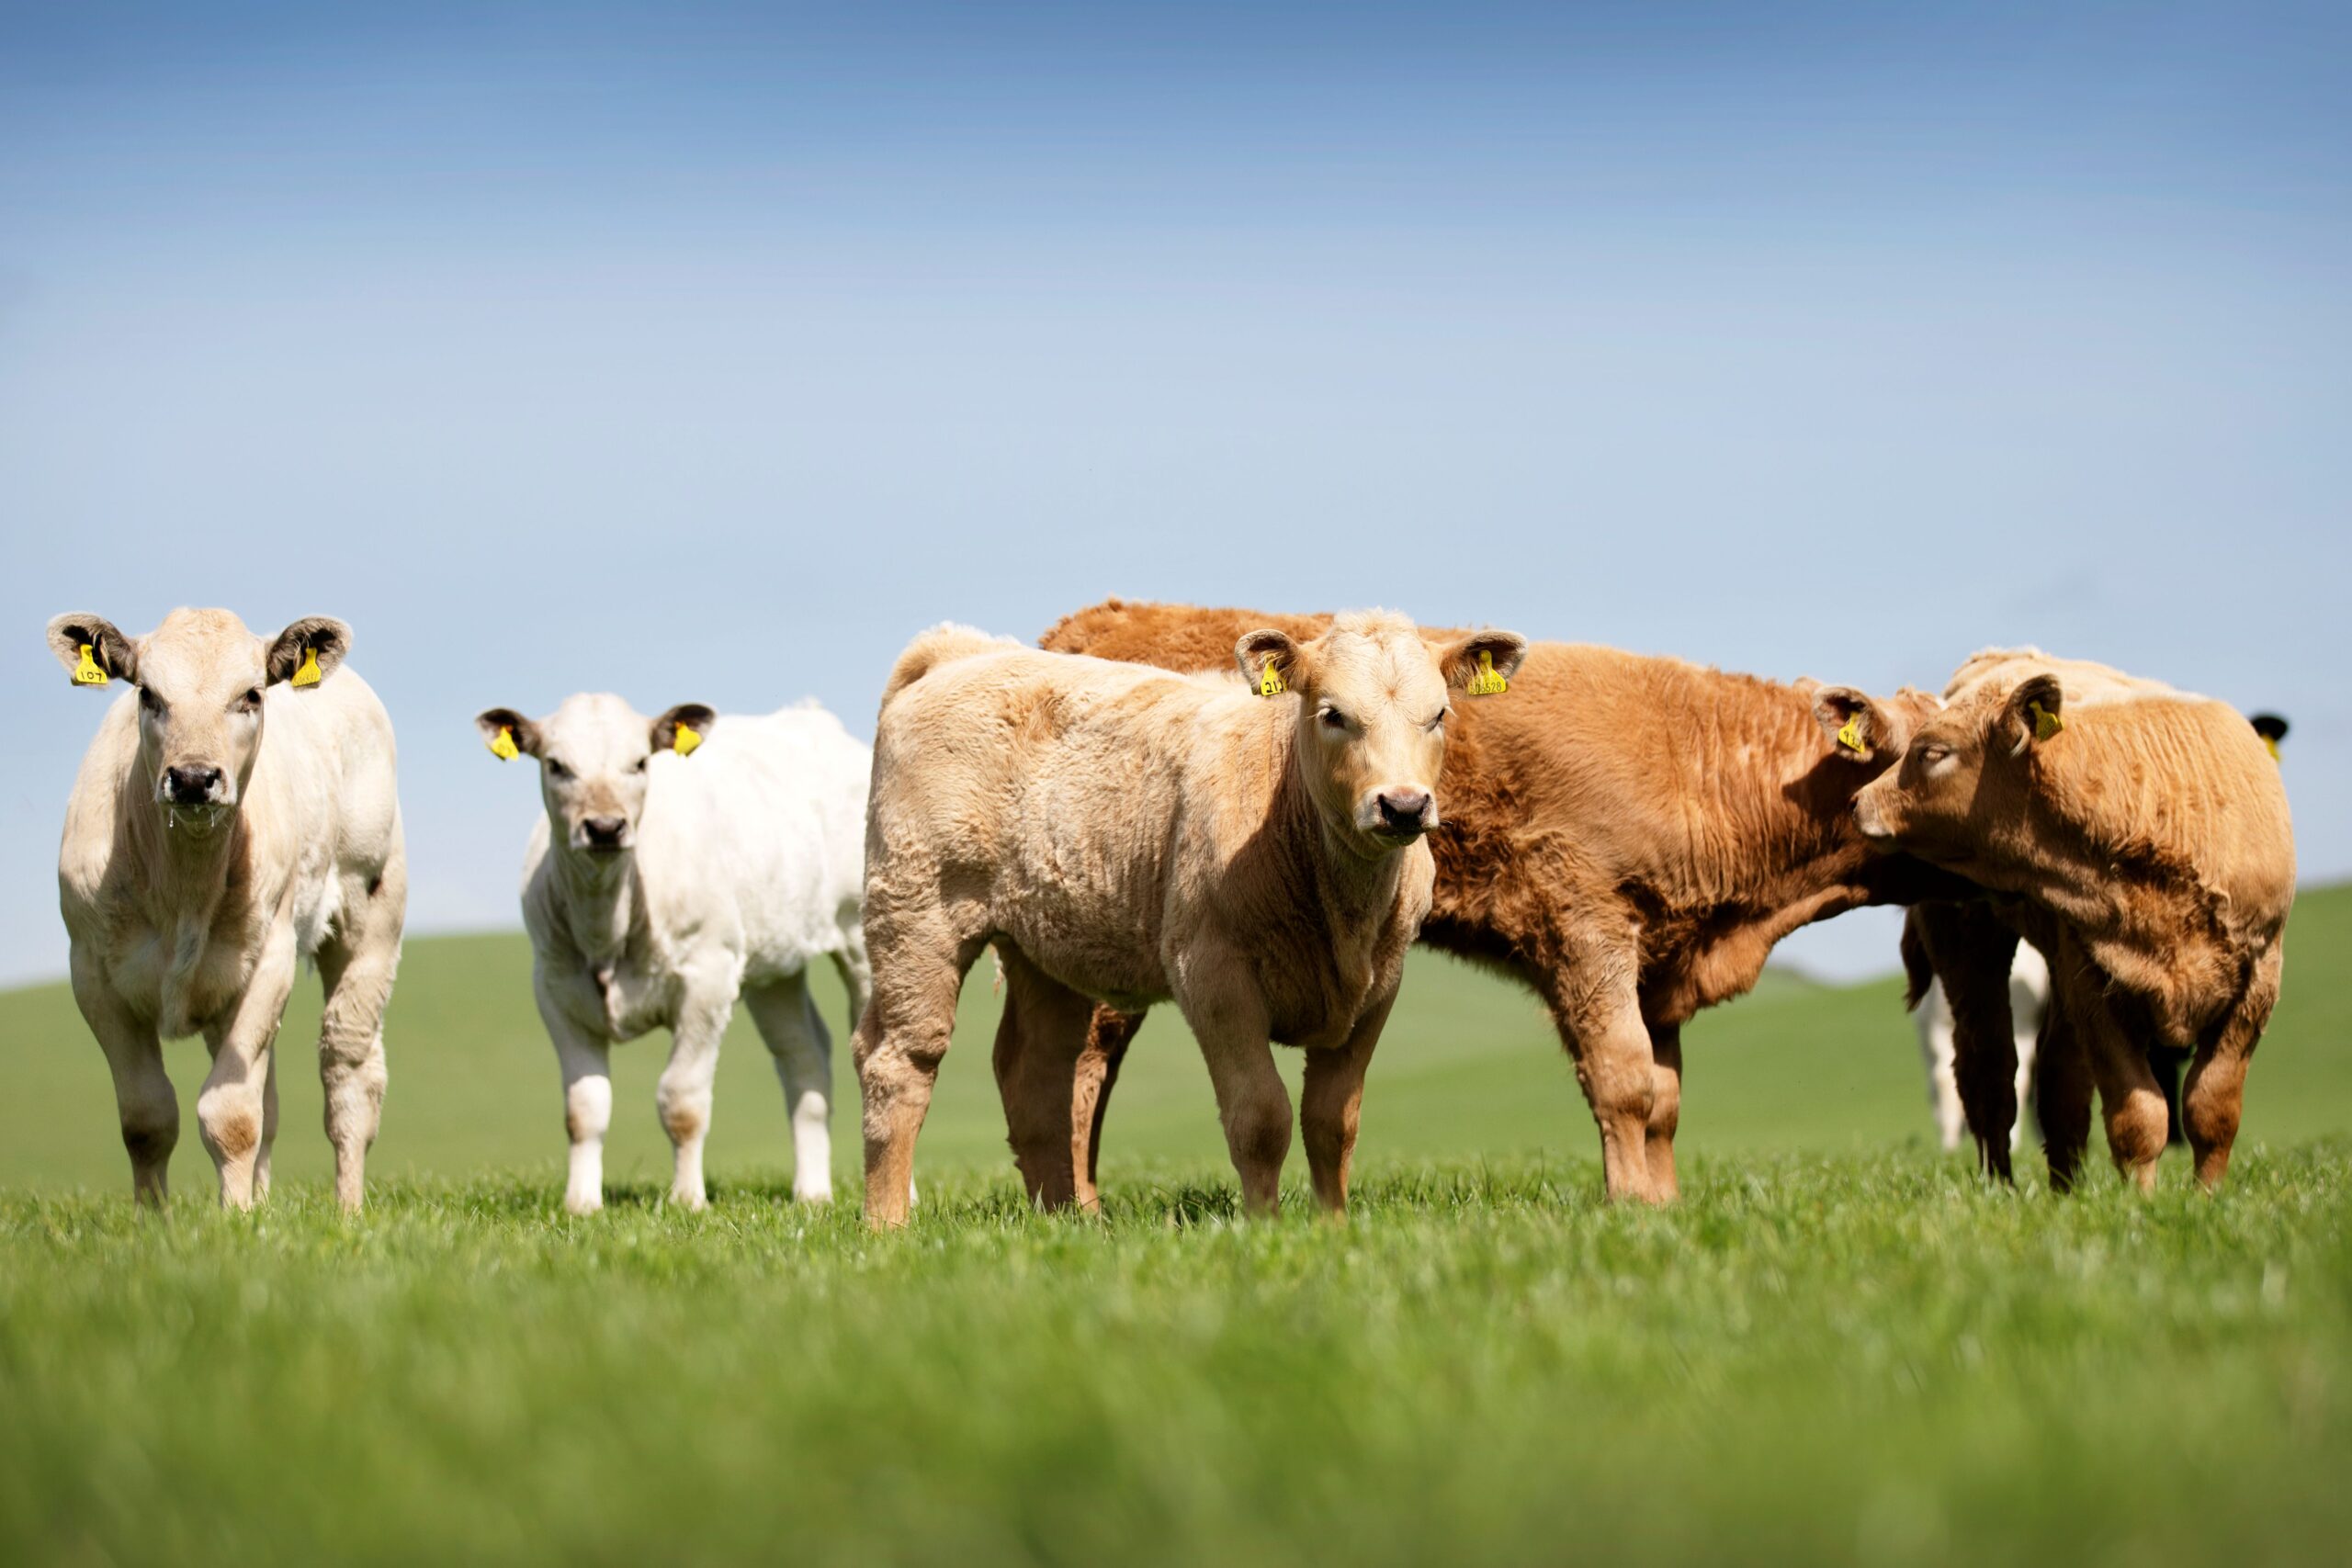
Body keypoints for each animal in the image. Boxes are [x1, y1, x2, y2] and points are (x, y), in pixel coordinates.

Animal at [50, 608, 403, 1211]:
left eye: (251, 695)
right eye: (148, 694)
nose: (193, 778)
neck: (183, 890)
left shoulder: (268, 963)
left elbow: (232, 1116)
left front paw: (234, 1218)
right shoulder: (93, 976)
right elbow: (147, 1119)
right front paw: (157, 1220)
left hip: (371, 918)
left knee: (348, 1075)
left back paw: (348, 1210)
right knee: (271, 1099)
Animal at [477, 695, 872, 1215]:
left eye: (640, 763)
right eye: (557, 765)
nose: (604, 827)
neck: (606, 920)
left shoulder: (707, 979)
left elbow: (681, 1101)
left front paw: (688, 1200)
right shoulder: (555, 987)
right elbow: (584, 1108)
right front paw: (581, 1203)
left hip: (862, 939)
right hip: (773, 964)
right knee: (803, 1055)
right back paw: (812, 1194)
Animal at [854, 611, 1526, 1225]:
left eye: (1439, 714)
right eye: (1333, 713)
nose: (1404, 805)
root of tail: (962, 650)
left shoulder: (1379, 987)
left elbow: (1333, 1120)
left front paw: (1332, 1226)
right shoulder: (1212, 974)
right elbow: (1260, 1115)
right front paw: (1266, 1228)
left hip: (1041, 946)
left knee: (1034, 1075)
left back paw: (1065, 1221)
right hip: (916, 914)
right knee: (901, 1061)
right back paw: (888, 1225)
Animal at [1032, 598, 1973, 1203]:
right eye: (1935, 752)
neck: (1702, 759)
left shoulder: (1656, 964)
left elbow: (1662, 1099)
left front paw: (1664, 1208)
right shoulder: (1585, 927)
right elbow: (1623, 1081)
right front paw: (1630, 1214)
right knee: (1079, 1071)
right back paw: (1081, 1208)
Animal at [1856, 655, 2294, 1192]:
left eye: (1933, 752)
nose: (1859, 801)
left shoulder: (2257, 982)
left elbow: (2212, 1109)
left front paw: (2208, 1198)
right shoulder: (2096, 988)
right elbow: (2139, 1115)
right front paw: (2141, 1203)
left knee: (2057, 1078)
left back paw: (2066, 1190)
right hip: (1971, 947)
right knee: (1990, 1072)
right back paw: (2001, 1188)